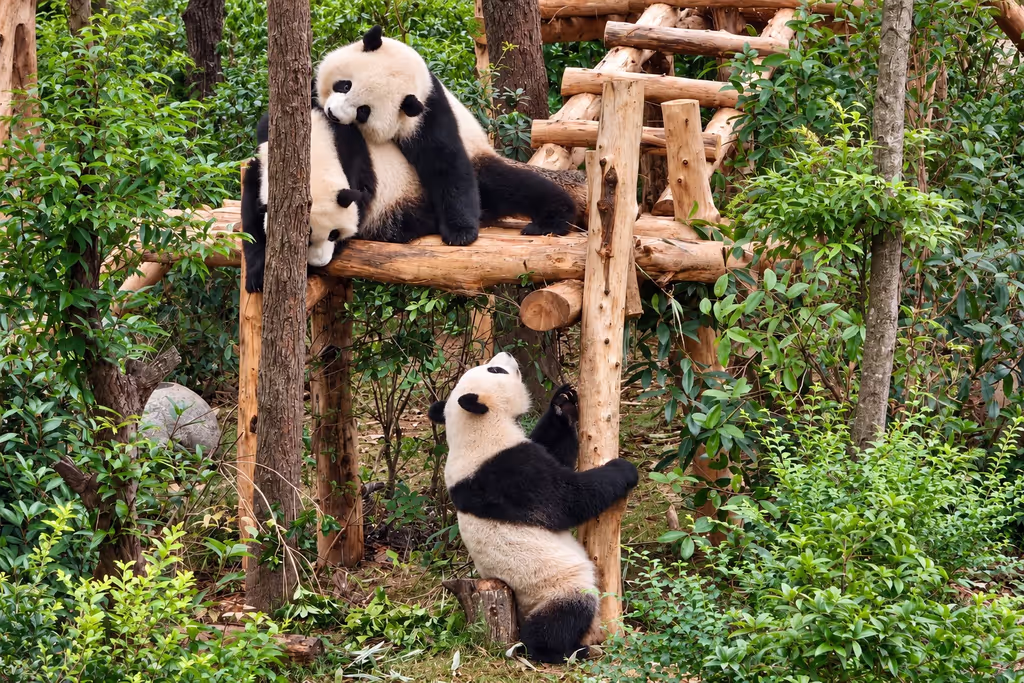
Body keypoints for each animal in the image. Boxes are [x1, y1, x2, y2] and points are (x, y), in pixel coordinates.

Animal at [240, 105, 372, 293]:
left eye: (333, 234)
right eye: (305, 241)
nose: (320, 262)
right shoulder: (261, 167)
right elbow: (251, 221)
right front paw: (257, 279)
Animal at [315, 25, 579, 243]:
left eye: (363, 111)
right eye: (345, 85)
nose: (333, 114)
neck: (419, 76)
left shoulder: (427, 115)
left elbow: (445, 163)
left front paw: (460, 232)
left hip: (479, 158)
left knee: (510, 185)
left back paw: (554, 218)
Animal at [427, 352, 639, 663]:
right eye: (495, 369)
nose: (507, 354)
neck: (474, 430)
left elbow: (555, 450)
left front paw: (563, 403)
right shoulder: (506, 474)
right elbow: (566, 500)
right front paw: (624, 470)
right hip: (554, 586)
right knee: (564, 615)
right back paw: (565, 650)